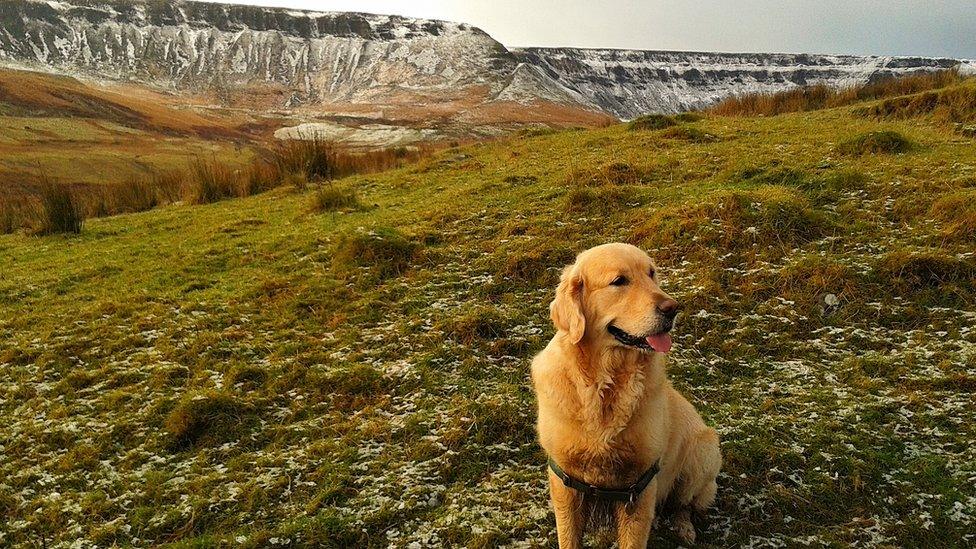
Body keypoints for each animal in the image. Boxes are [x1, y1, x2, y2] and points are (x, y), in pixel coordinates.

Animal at [528, 242, 720, 544]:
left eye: (652, 273)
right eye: (619, 281)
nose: (673, 309)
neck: (605, 385)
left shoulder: (640, 486)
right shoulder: (564, 480)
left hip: (704, 452)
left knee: (684, 504)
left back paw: (684, 527)